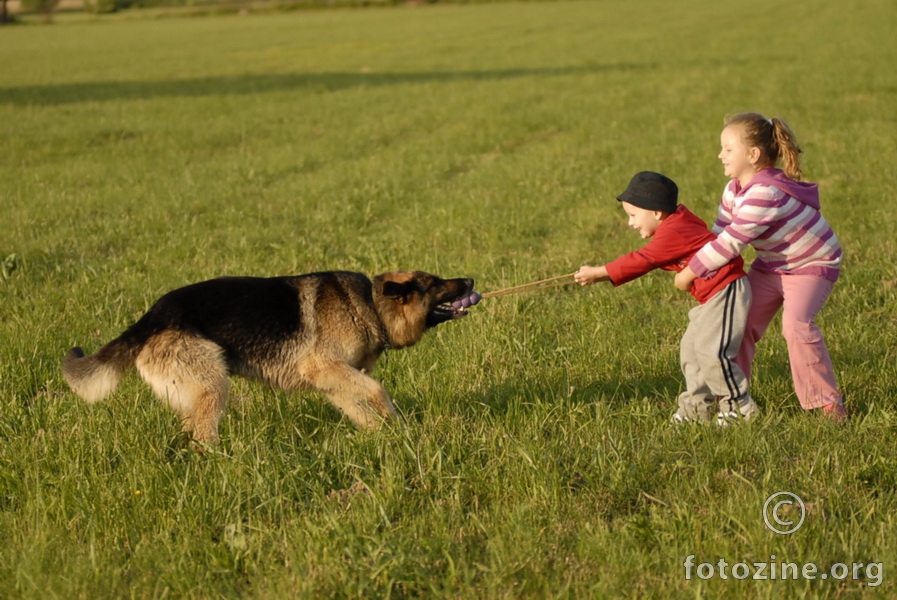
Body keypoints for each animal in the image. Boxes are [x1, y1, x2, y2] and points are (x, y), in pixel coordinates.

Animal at [63, 270, 476, 442]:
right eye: (436, 283)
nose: (471, 280)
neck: (369, 303)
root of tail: (150, 319)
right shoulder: (325, 367)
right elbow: (377, 391)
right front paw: (396, 422)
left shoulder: (334, 381)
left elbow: (360, 407)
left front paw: (384, 437)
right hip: (212, 385)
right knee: (202, 436)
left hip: (193, 391)